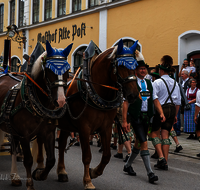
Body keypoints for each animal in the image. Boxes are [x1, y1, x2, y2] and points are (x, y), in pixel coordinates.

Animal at [0, 40, 72, 189]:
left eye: (68, 70)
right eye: (49, 70)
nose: (61, 101)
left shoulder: (48, 132)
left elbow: (51, 160)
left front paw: (39, 174)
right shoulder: (24, 134)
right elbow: (28, 160)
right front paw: (30, 184)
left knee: (13, 149)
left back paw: (15, 177)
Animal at [33, 39, 139, 189]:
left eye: (136, 65)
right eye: (120, 66)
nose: (133, 95)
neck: (96, 91)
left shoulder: (106, 127)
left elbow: (106, 155)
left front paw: (94, 172)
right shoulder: (84, 128)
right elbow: (87, 156)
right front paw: (88, 181)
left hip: (66, 125)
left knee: (61, 145)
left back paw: (62, 172)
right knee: (41, 141)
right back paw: (40, 166)